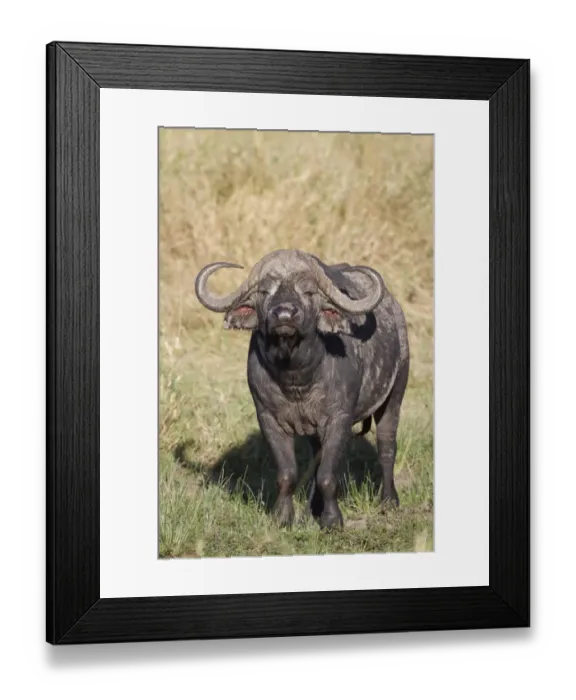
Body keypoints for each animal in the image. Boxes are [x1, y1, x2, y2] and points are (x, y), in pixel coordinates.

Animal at [195, 249, 410, 530]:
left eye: (308, 292)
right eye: (265, 291)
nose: (285, 315)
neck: (296, 377)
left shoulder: (339, 419)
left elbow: (328, 474)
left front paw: (332, 521)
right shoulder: (269, 419)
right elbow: (288, 474)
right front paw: (283, 517)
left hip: (394, 396)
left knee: (386, 446)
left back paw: (389, 501)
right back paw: (313, 508)